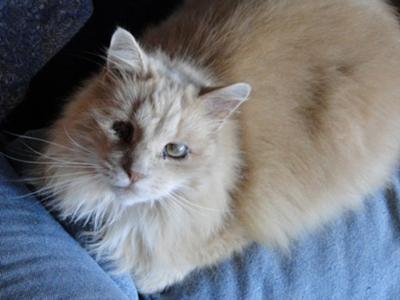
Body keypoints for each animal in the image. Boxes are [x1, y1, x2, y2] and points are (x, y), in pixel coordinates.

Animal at [35, 0, 400, 294]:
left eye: (175, 151)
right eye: (122, 130)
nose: (133, 174)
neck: (235, 145)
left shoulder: (243, 221)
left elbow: (163, 266)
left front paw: (145, 275)